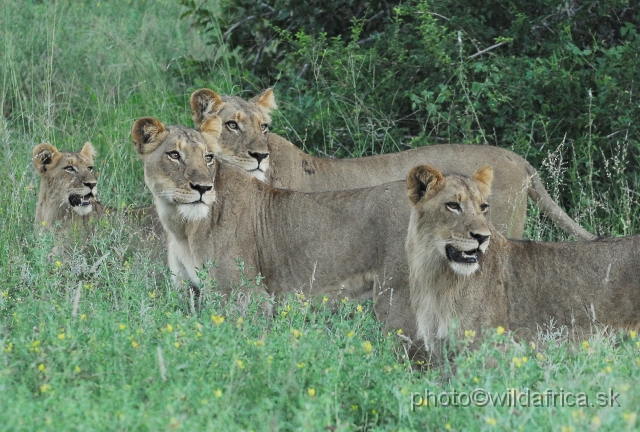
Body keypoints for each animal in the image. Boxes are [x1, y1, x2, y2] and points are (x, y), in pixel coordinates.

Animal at [131, 115, 416, 314]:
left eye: (208, 157)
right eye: (174, 155)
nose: (203, 188)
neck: (180, 225)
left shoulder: (248, 296)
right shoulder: (186, 291)